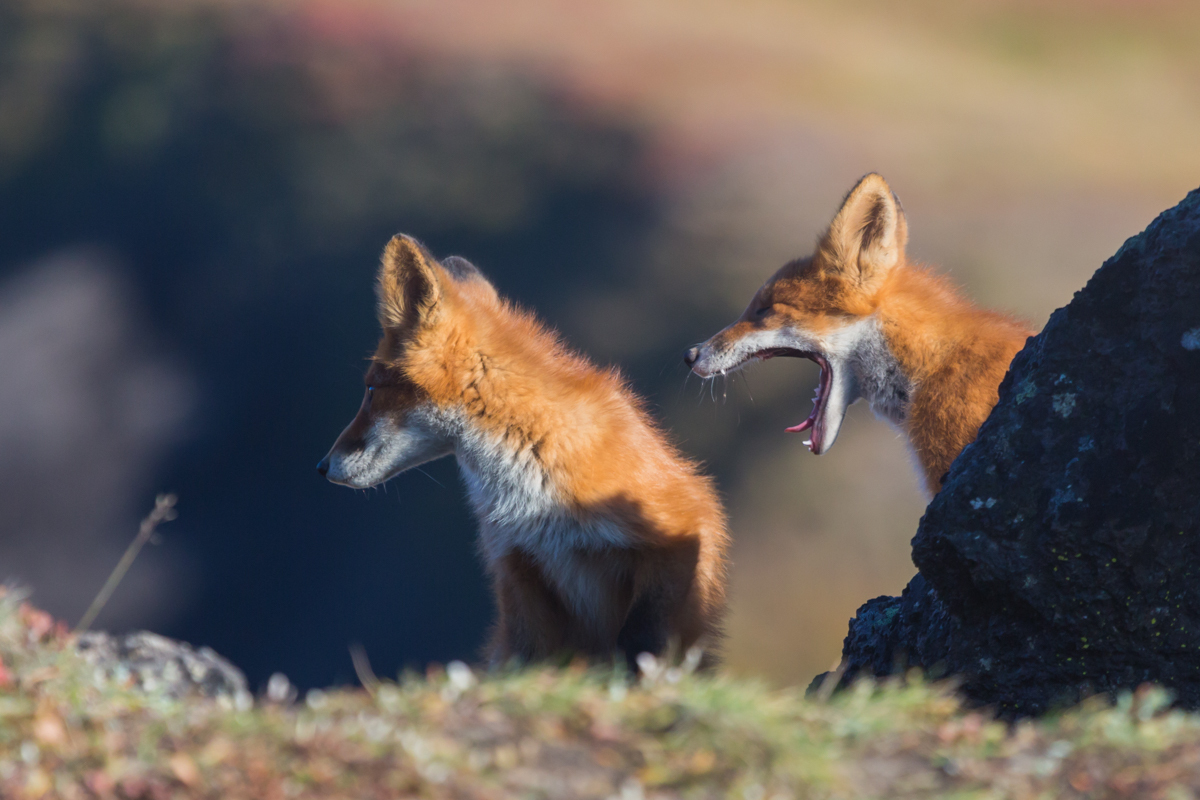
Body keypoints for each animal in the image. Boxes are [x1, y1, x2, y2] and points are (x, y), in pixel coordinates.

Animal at [321, 235, 729, 666]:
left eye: (370, 389)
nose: (321, 466)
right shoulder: (520, 570)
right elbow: (527, 659)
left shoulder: (681, 527)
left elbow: (641, 639)